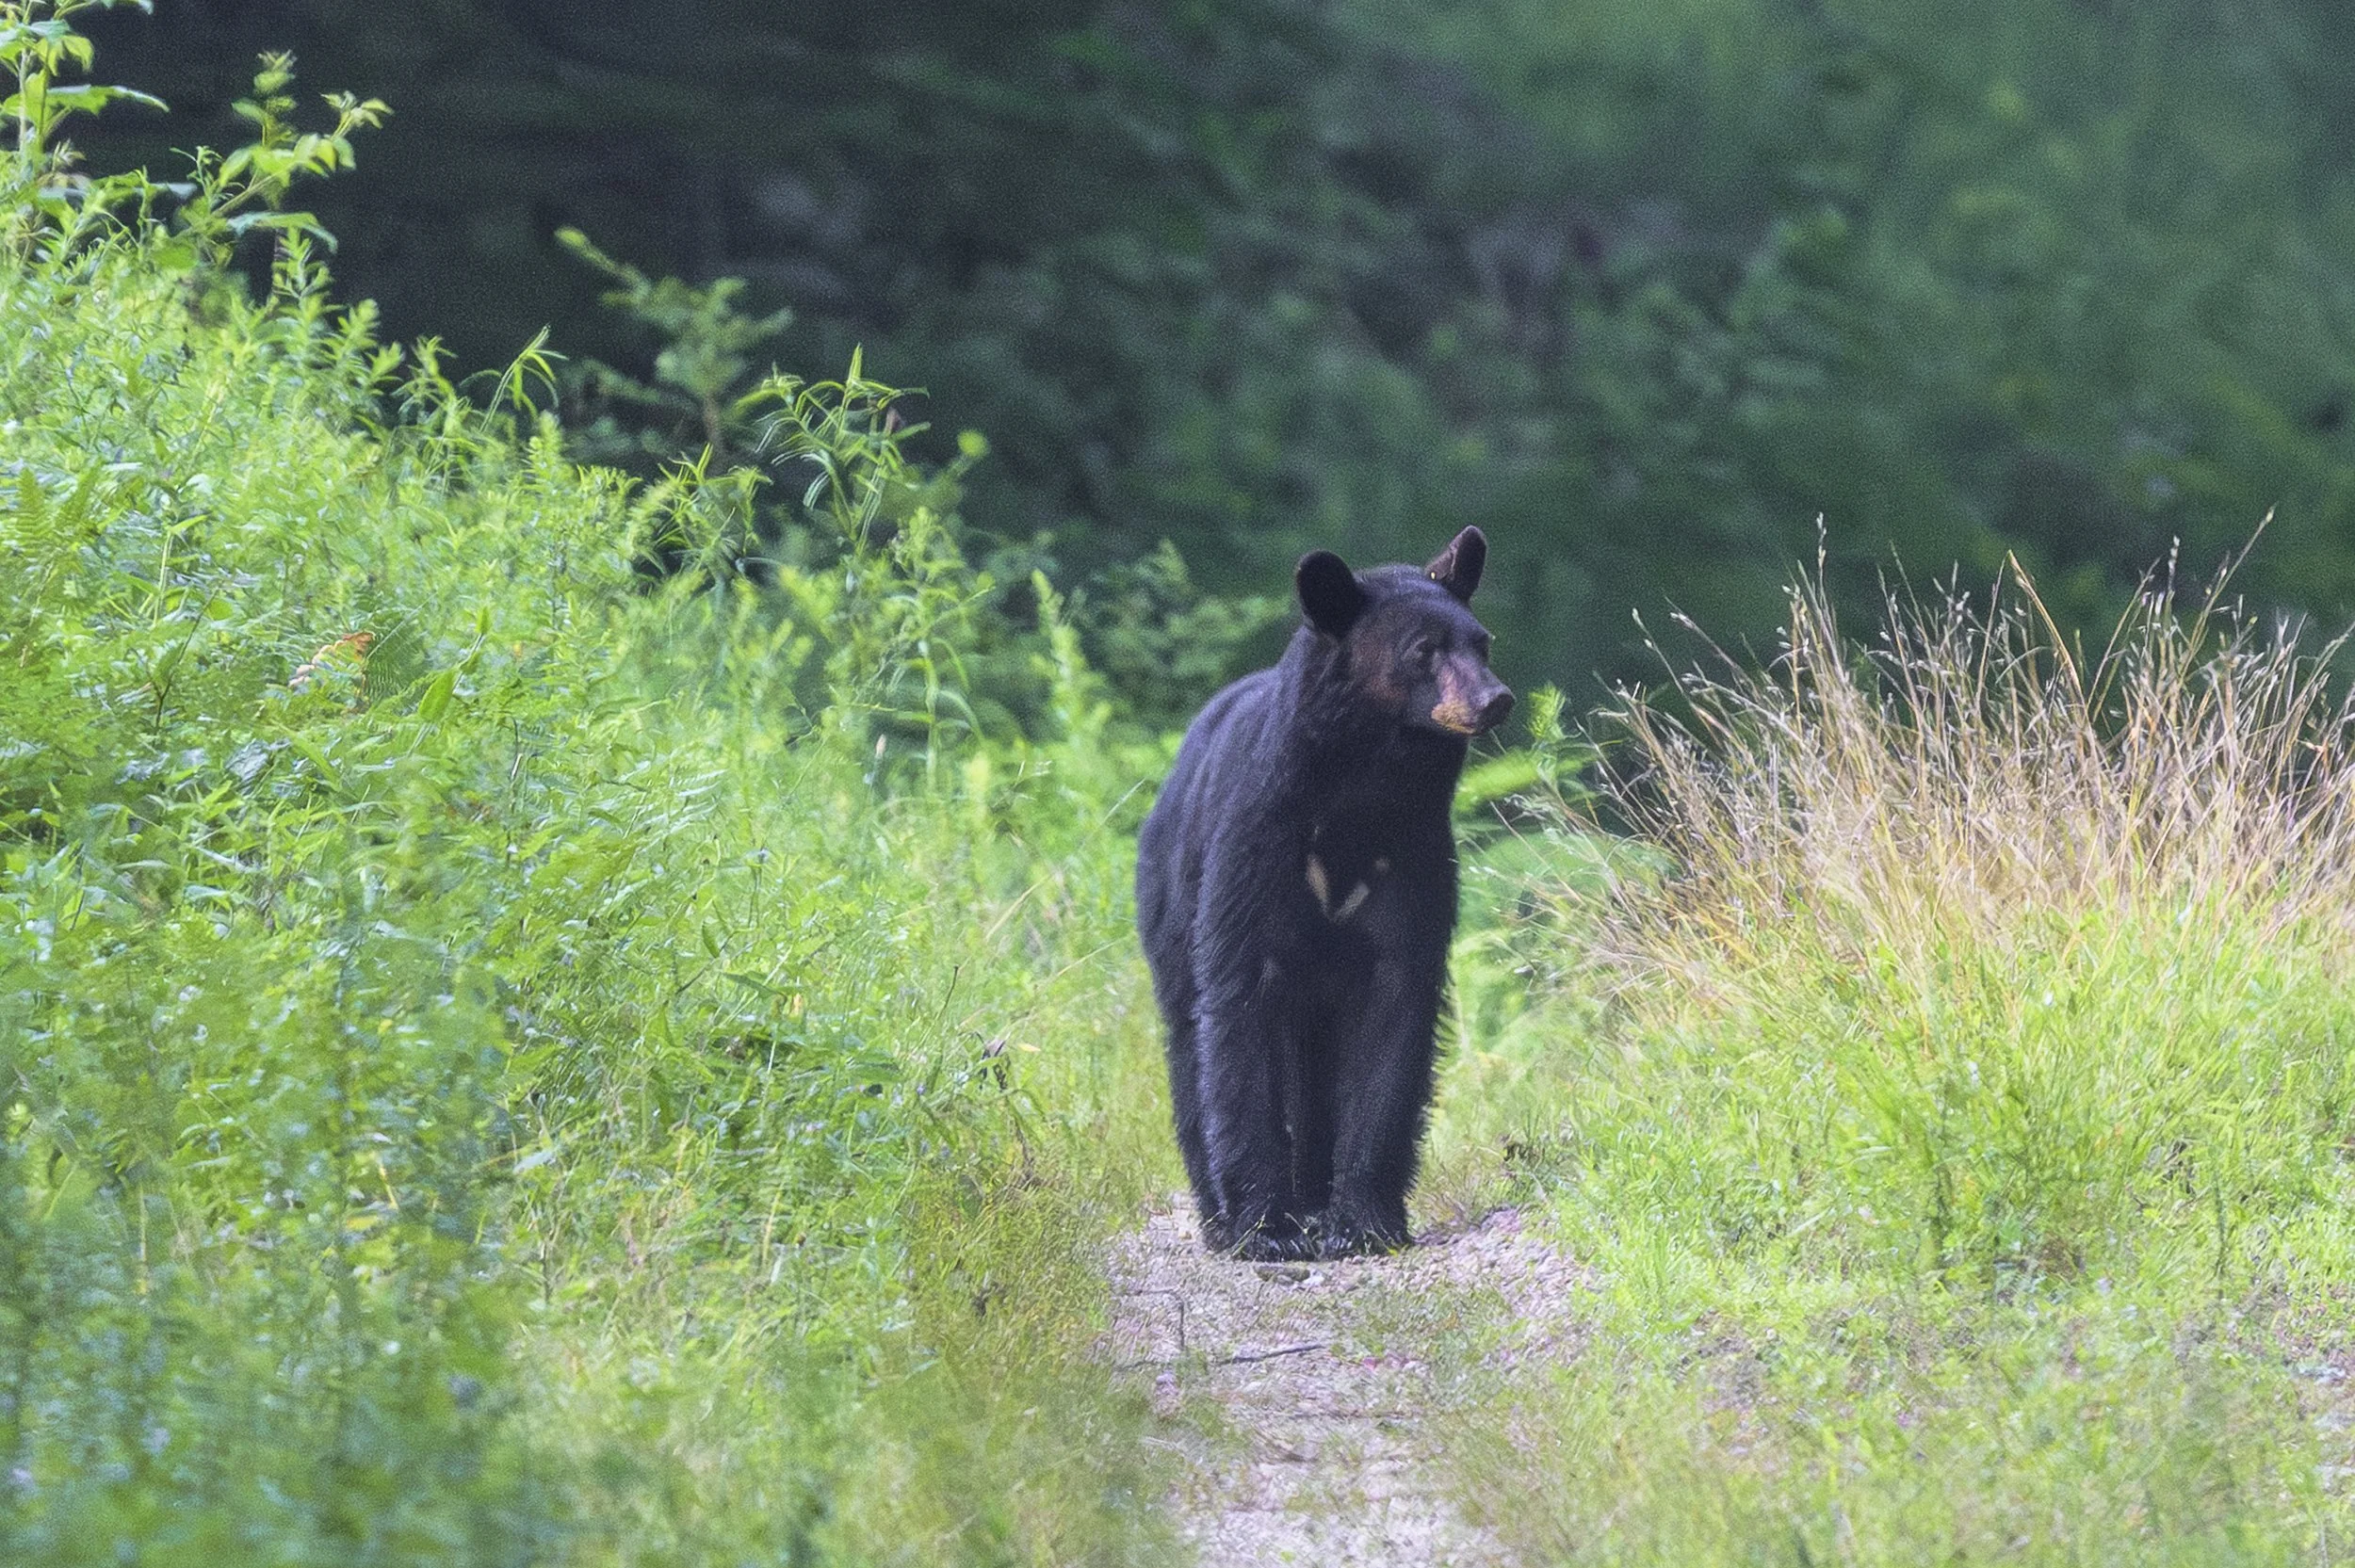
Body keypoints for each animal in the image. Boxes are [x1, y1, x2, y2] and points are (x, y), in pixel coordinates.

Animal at [1134, 526, 1514, 1260]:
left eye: (1481, 641)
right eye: (1422, 649)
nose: (1495, 699)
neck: (1357, 796)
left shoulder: (1412, 854)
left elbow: (1396, 1017)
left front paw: (1364, 1219)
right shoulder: (1256, 846)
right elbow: (1236, 1014)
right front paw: (1265, 1228)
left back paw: (1312, 1198)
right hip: (1171, 904)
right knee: (1191, 1039)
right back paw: (1221, 1215)